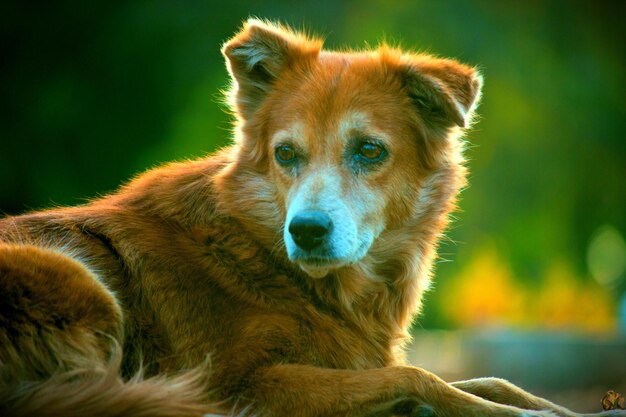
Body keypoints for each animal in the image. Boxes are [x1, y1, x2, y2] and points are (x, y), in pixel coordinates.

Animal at [0, 18, 616, 416]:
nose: (307, 231)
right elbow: (418, 375)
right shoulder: (244, 382)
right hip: (77, 281)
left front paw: (559, 408)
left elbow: (491, 378)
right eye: (286, 154)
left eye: (369, 150)